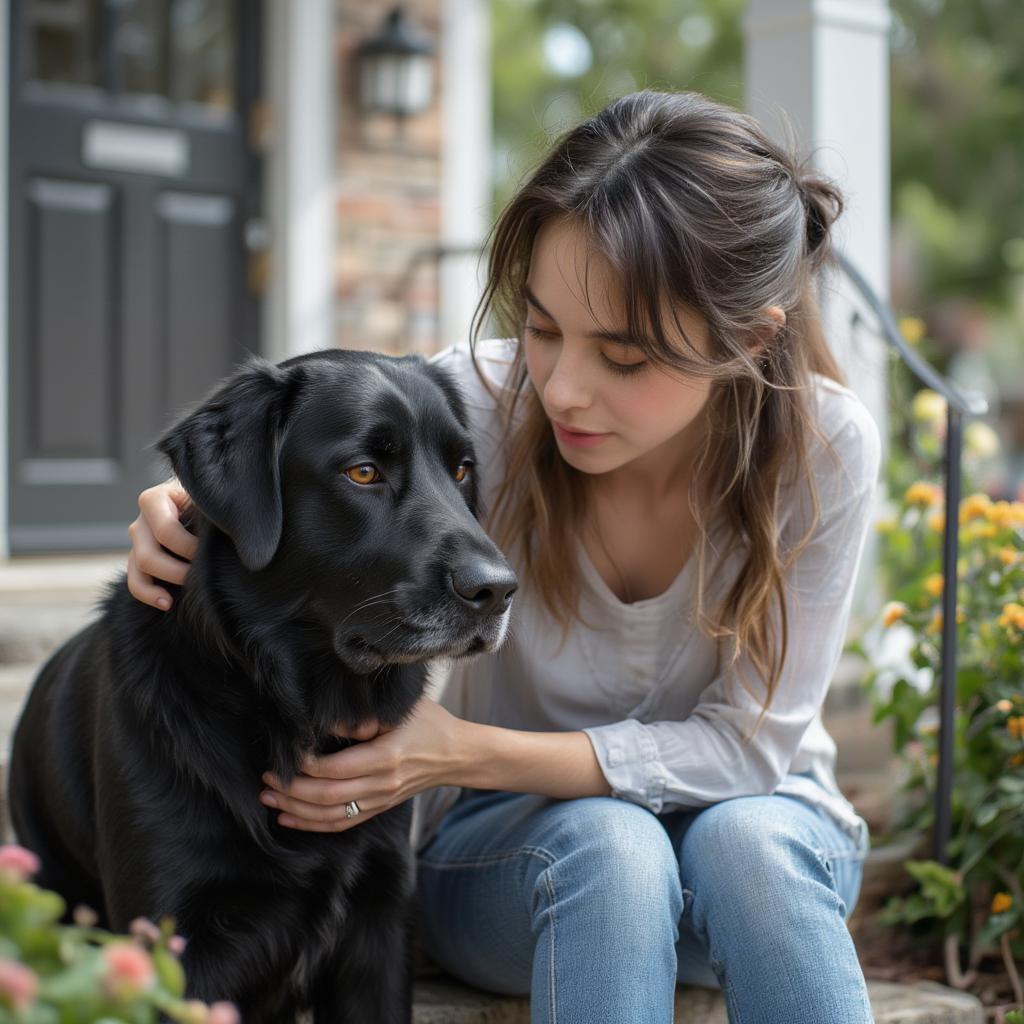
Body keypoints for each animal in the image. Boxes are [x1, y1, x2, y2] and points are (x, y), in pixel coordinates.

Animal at [6, 348, 520, 1019]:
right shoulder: (172, 943)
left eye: (461, 470)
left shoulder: (380, 926)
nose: (499, 590)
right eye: (363, 472)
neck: (287, 710)